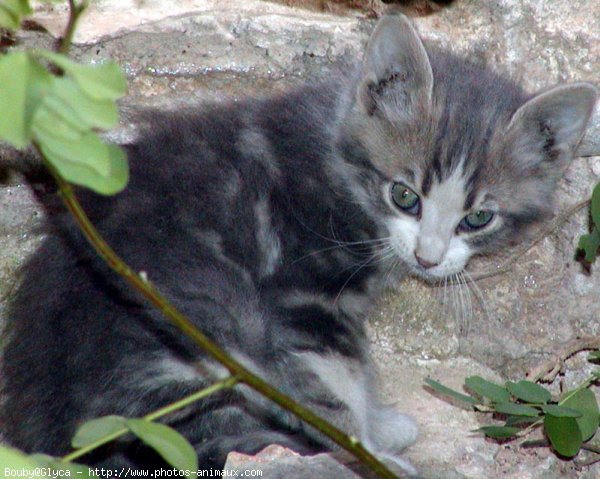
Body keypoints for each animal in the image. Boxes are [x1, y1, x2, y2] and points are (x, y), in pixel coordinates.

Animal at [2, 13, 596, 478]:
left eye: (477, 218)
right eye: (404, 195)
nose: (426, 259)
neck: (337, 165)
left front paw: (378, 426)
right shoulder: (303, 302)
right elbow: (336, 384)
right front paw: (367, 444)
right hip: (206, 336)